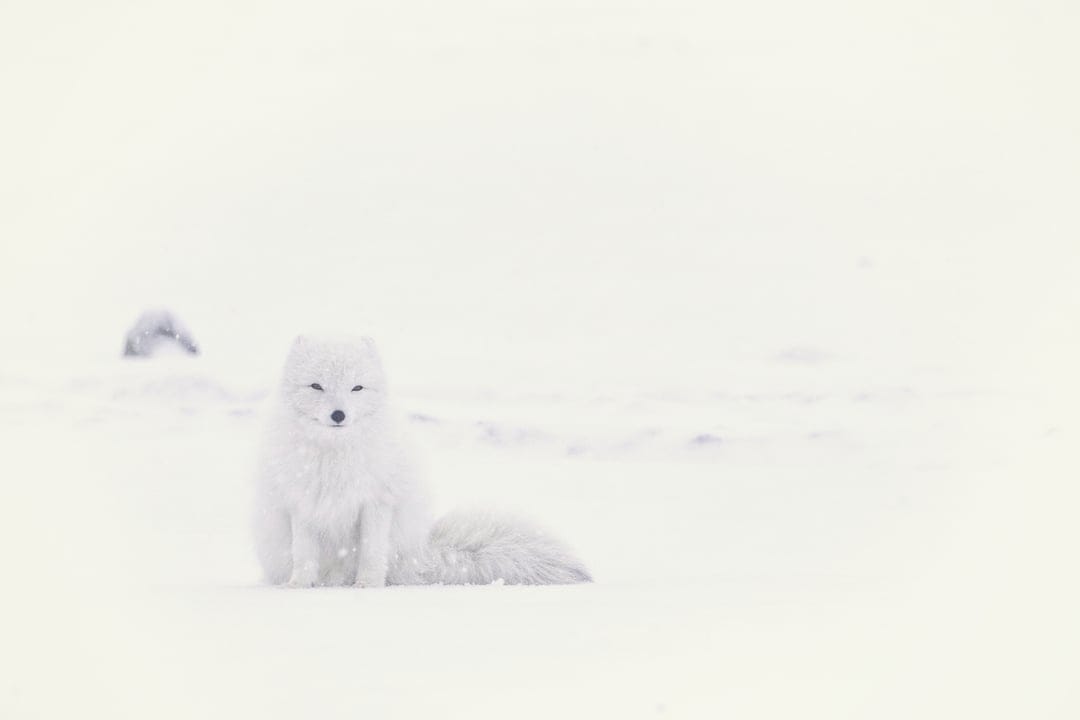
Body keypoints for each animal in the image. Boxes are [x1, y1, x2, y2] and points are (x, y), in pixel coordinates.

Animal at [252, 335, 591, 588]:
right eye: (316, 386)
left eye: (356, 387)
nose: (339, 414)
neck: (334, 456)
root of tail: (420, 554)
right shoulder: (301, 501)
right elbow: (304, 552)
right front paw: (299, 586)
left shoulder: (378, 500)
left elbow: (372, 550)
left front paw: (368, 585)